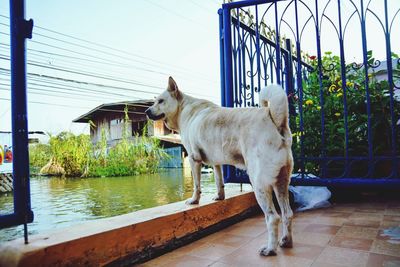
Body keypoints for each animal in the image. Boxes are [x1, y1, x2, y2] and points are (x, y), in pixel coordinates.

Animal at [146, 77, 294, 255]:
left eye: (161, 101)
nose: (146, 111)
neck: (183, 108)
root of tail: (274, 118)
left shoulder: (194, 159)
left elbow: (197, 185)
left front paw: (194, 200)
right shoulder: (215, 162)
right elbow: (219, 181)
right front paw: (219, 197)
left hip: (259, 184)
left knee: (273, 217)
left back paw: (270, 249)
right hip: (281, 182)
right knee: (287, 214)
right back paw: (286, 241)